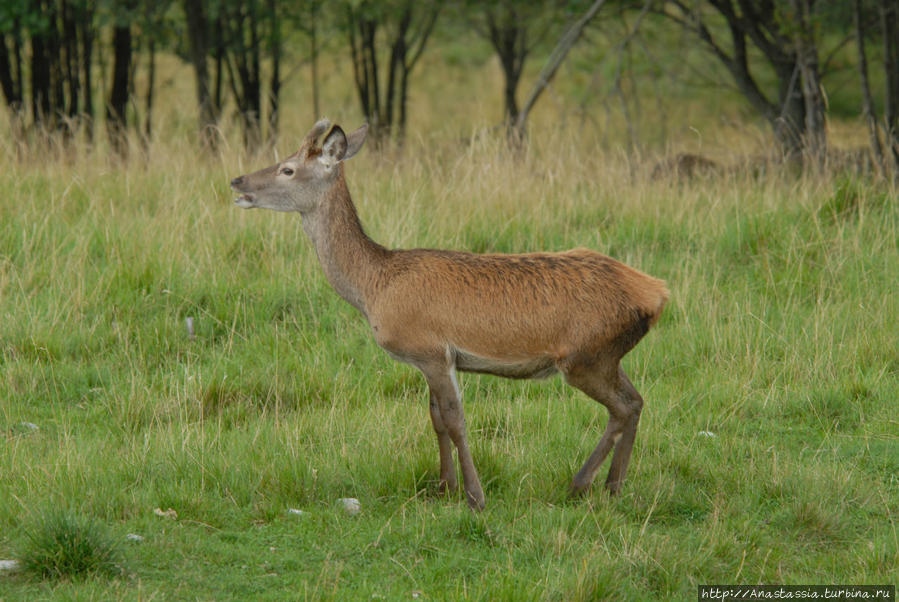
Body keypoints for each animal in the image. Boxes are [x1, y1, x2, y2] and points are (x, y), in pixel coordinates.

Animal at [232, 119, 668, 508]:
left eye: (288, 168)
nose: (237, 182)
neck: (373, 288)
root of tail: (657, 293)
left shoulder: (431, 350)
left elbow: (455, 419)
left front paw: (476, 496)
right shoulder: (428, 360)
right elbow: (436, 419)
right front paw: (445, 488)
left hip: (583, 358)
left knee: (623, 407)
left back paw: (583, 484)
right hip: (607, 356)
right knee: (636, 401)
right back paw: (612, 486)